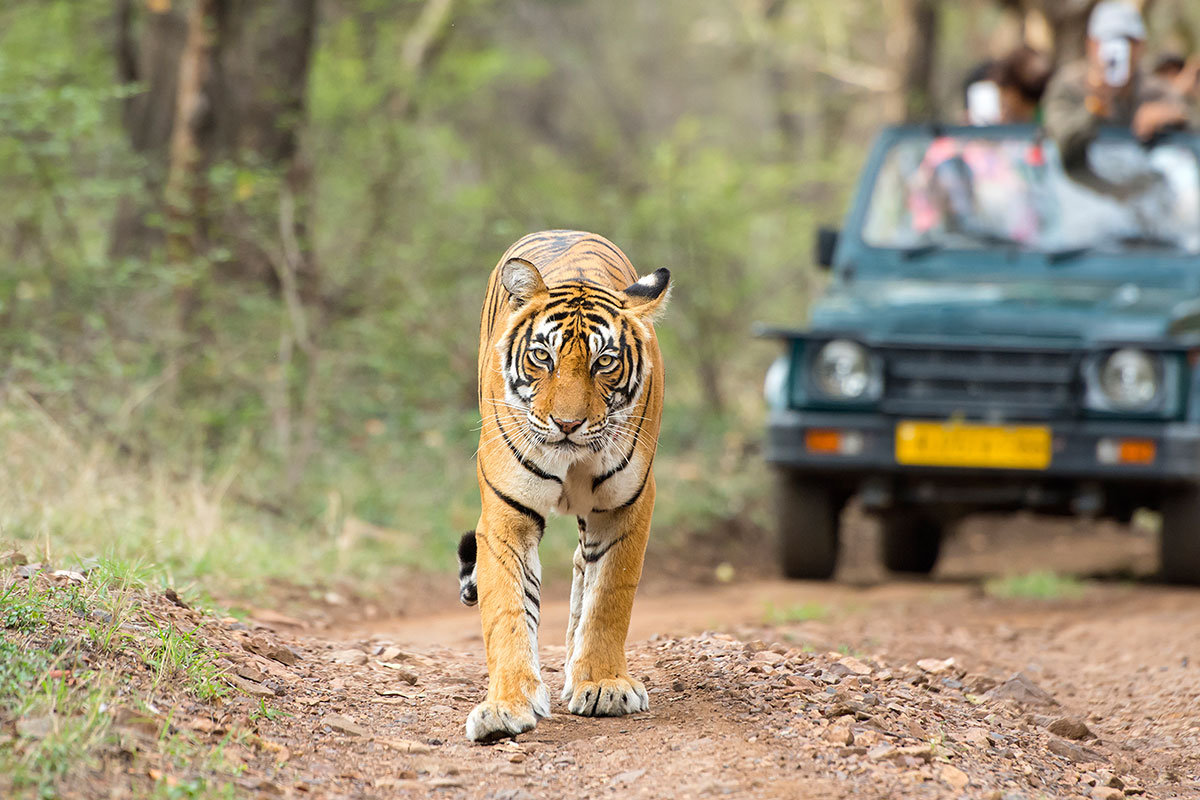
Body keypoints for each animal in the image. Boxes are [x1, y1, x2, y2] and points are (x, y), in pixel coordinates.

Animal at [456, 227, 672, 743]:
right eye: (543, 357)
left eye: (604, 362)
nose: (567, 424)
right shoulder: (506, 514)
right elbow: (508, 609)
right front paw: (505, 706)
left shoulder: (626, 506)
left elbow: (609, 596)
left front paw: (603, 684)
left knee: (582, 568)